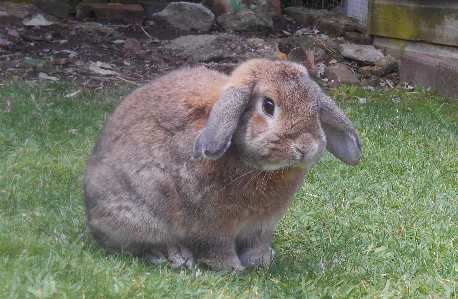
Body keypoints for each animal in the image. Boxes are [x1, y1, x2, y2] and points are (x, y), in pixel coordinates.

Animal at [83, 58, 362, 272]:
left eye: (315, 108)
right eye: (268, 105)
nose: (306, 146)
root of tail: (91, 216)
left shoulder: (260, 227)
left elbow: (256, 246)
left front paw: (261, 263)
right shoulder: (212, 226)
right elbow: (217, 248)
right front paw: (233, 269)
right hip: (139, 213)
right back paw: (174, 257)